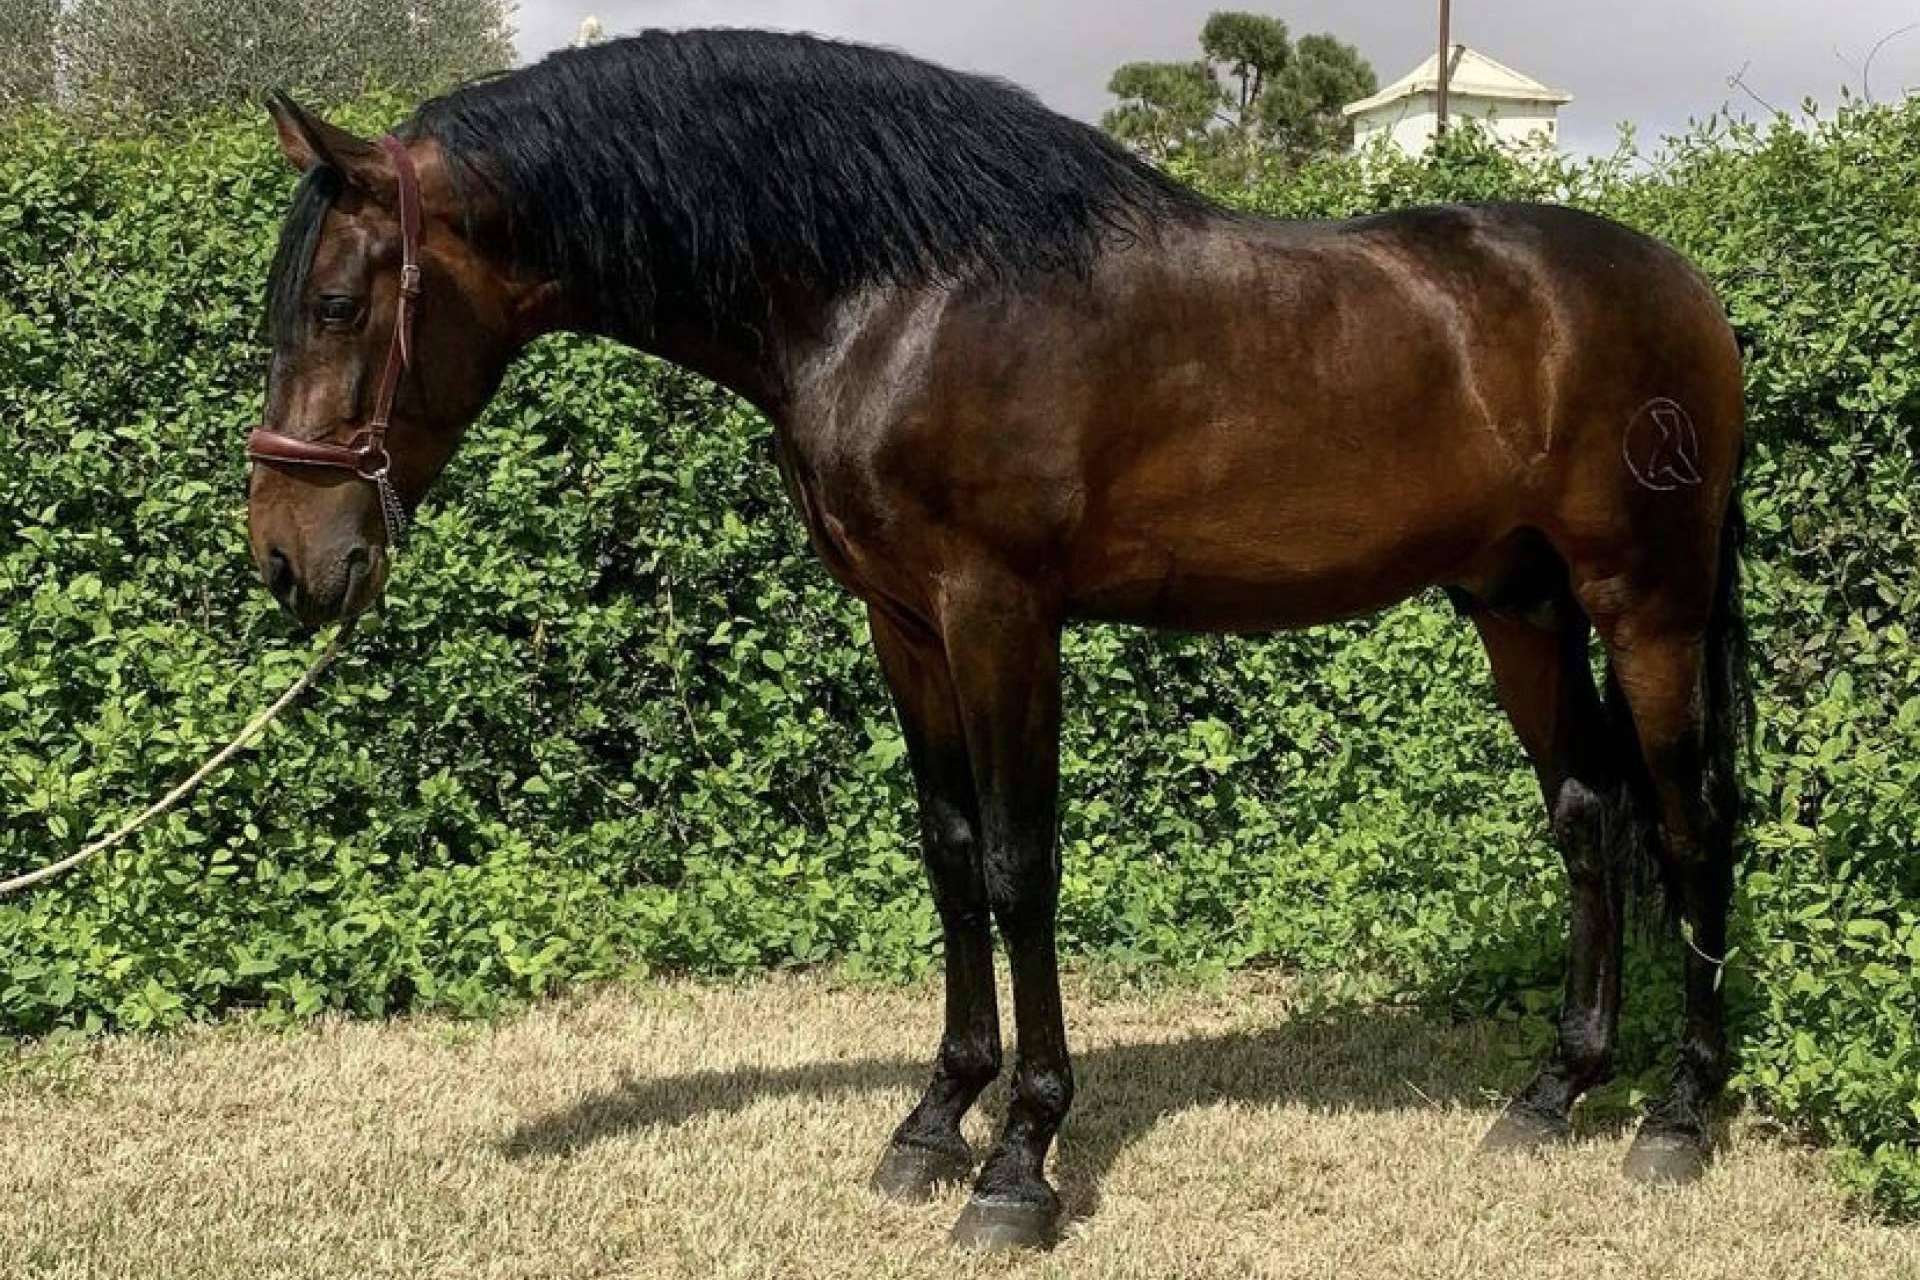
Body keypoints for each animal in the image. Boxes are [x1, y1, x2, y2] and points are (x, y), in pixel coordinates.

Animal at [246, 29, 1750, 1250]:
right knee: (1590, 813)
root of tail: (1684, 284)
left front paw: (1021, 1162)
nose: (287, 560)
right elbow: (953, 852)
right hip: (1520, 605)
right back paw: (1553, 1091)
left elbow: (1025, 866)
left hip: (1647, 603)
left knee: (1689, 823)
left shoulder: (999, 611)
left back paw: (1679, 1116)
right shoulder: (905, 619)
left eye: (335, 306)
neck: (903, 293)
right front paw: (931, 1124)